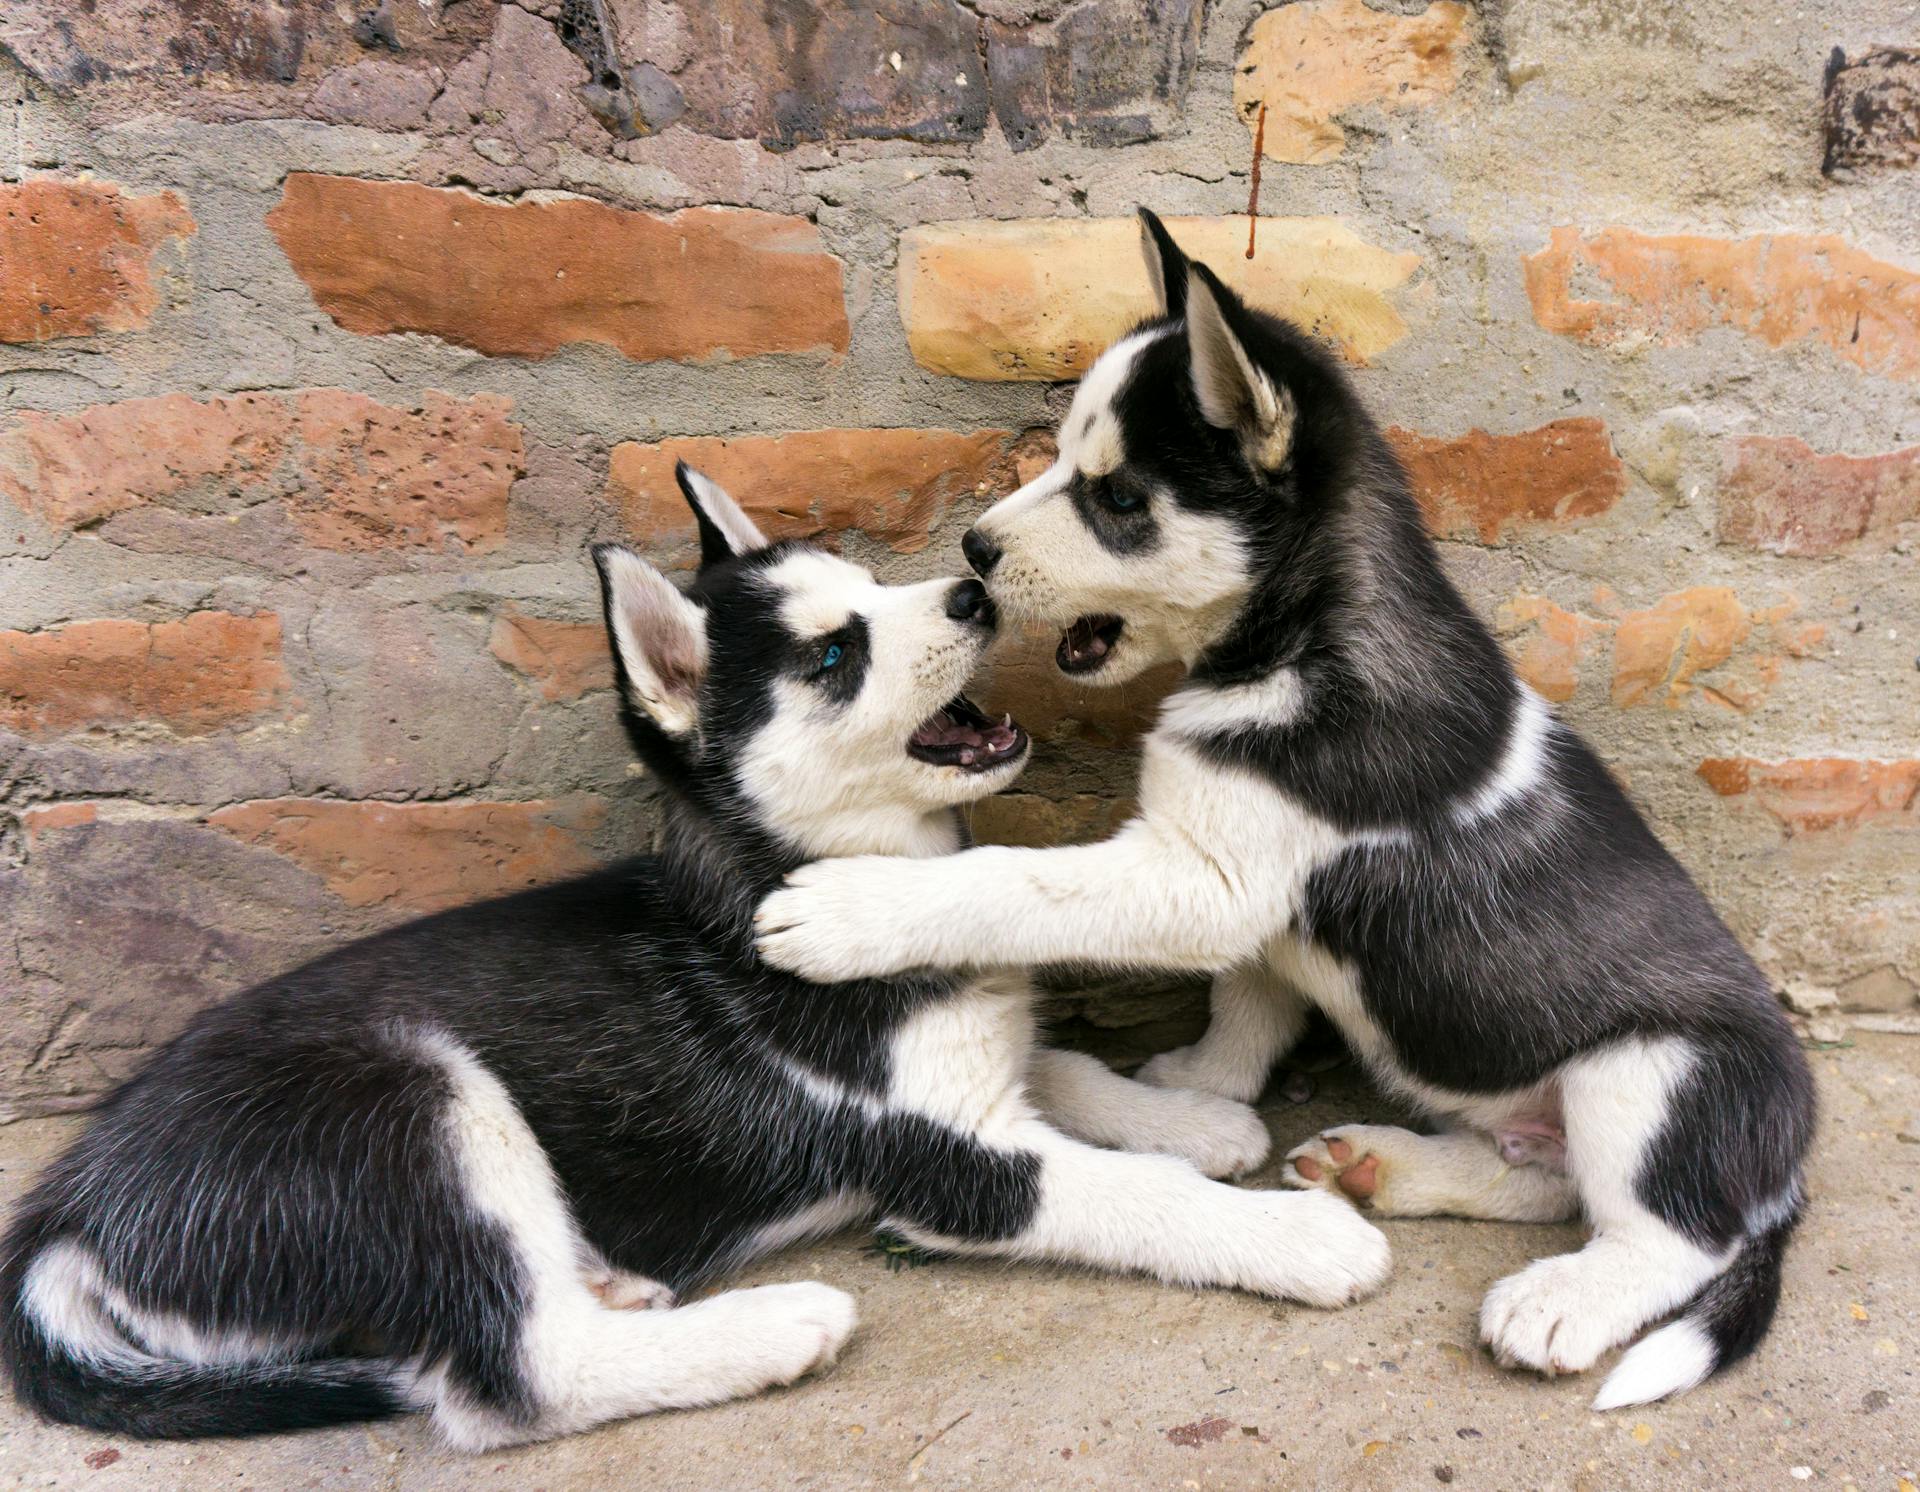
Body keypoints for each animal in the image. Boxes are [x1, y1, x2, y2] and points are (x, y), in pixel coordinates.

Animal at [0, 462, 1382, 1443]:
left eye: (871, 588)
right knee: (515, 1377)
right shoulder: (950, 1162)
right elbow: (1134, 1195)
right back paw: (773, 1325)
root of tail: (68, 1213)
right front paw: (1297, 1234)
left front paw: (1189, 1113)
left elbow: (1066, 1069)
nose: (975, 590)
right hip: (414, 1096)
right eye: (835, 655)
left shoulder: (965, 1069)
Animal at [752, 209, 1812, 1405]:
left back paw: (1558, 1303)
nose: (975, 552)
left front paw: (847, 909)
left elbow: (1011, 880)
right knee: (1551, 1183)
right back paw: (1382, 1168)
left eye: (1119, 497)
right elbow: (1246, 1000)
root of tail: (1786, 1174)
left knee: (1666, 1234)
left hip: (1654, 1074)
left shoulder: (1207, 876)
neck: (1298, 641)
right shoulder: (1245, 893)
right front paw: (1201, 1091)